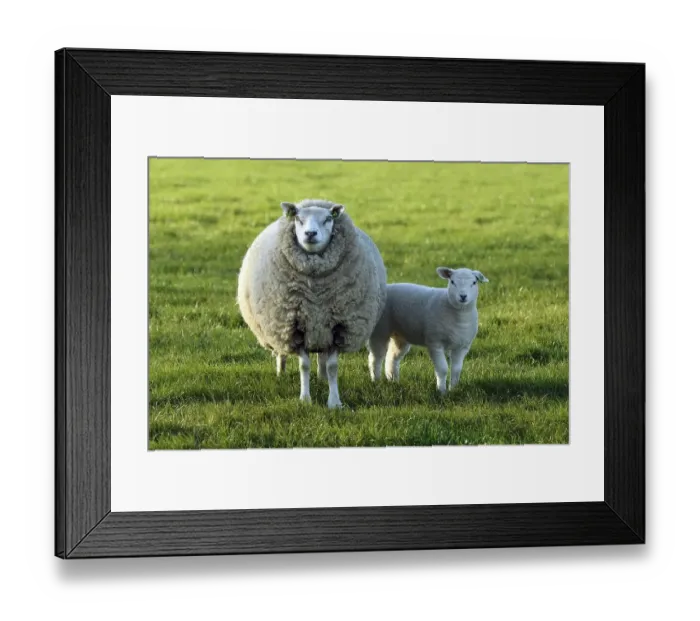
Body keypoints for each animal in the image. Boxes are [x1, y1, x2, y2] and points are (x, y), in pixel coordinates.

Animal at [237, 199, 387, 408]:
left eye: (328, 219)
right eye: (298, 219)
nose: (310, 234)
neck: (316, 293)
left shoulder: (338, 328)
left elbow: (332, 367)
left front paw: (334, 402)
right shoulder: (295, 328)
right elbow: (304, 366)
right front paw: (305, 399)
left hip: (320, 332)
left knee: (321, 358)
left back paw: (322, 377)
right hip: (279, 327)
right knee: (282, 352)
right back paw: (281, 372)